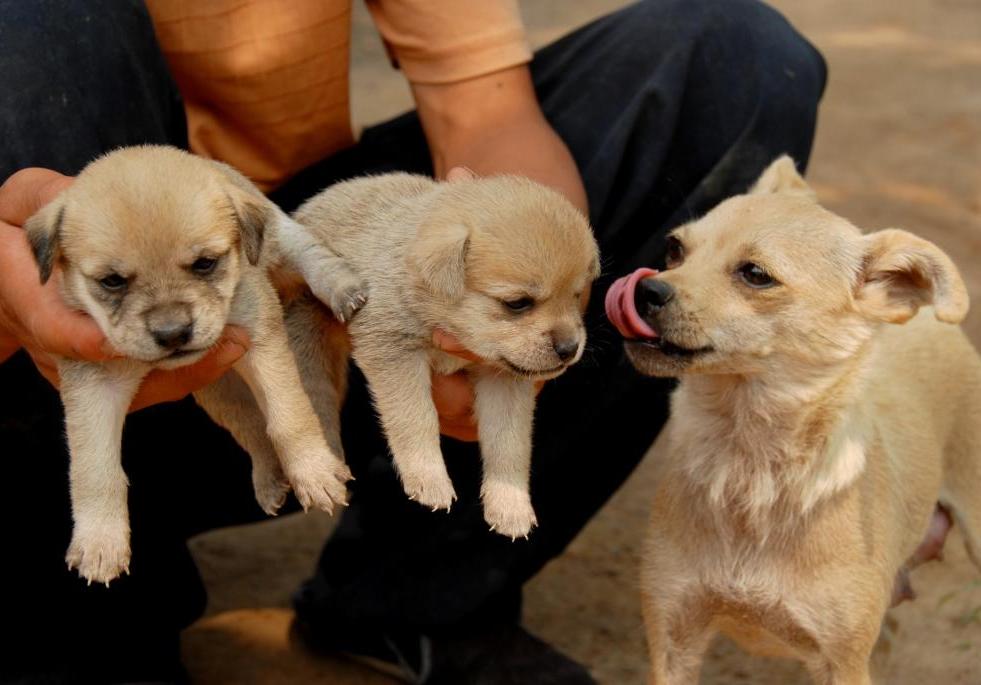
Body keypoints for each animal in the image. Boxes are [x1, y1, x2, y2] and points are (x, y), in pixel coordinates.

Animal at [27, 146, 364, 584]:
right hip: (221, 394)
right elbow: (94, 466)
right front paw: (100, 540)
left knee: (309, 253)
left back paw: (343, 288)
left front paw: (316, 473)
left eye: (206, 263)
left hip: (277, 238)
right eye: (112, 281)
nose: (172, 333)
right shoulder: (93, 386)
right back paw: (270, 479)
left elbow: (290, 416)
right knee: (251, 428)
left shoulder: (263, 340)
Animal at [284, 172, 600, 540]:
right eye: (518, 303)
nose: (569, 348)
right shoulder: (394, 351)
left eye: (576, 295)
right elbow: (415, 418)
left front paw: (510, 504)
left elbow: (510, 442)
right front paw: (429, 479)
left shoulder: (504, 382)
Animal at [604, 158, 980, 680]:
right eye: (675, 249)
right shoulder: (673, 642)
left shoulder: (842, 665)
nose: (643, 287)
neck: (748, 466)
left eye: (756, 275)